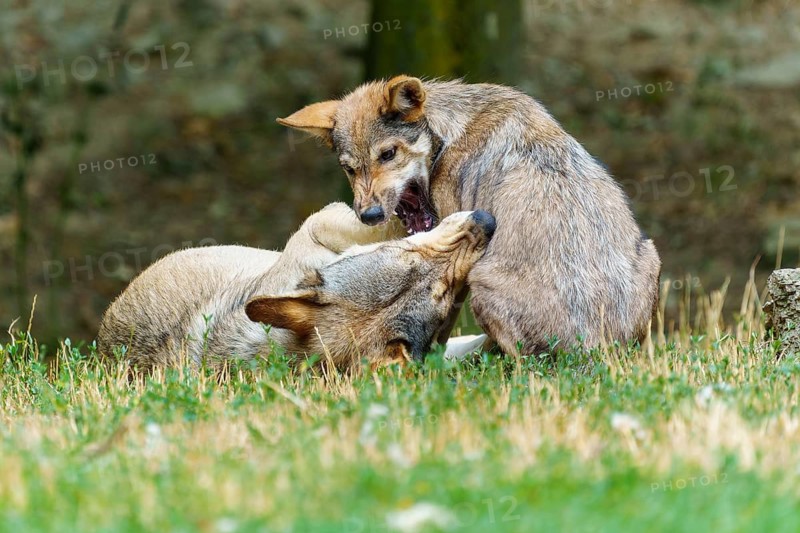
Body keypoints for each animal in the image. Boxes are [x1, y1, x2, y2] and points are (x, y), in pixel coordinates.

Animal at [277, 76, 661, 355]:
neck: (448, 135)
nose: (369, 215)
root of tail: (598, 350)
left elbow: (441, 328)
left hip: (480, 281)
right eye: (349, 169)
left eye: (388, 154)